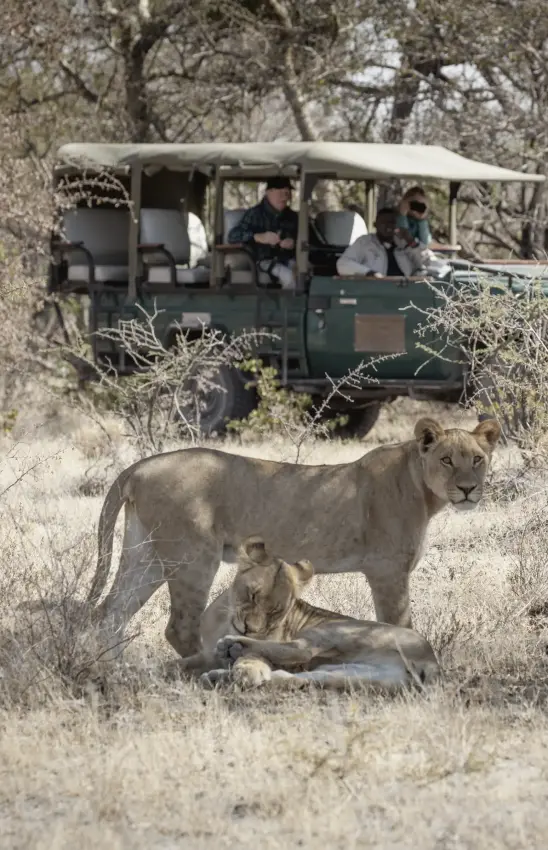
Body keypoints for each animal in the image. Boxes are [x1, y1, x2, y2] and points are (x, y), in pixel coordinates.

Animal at [88, 417, 500, 659]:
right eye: (447, 459)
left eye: (477, 459)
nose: (468, 489)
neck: (422, 488)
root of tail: (141, 466)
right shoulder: (387, 571)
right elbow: (399, 623)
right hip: (193, 557)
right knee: (179, 627)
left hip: (145, 555)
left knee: (109, 614)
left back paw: (113, 670)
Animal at [196, 535, 440, 691]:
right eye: (252, 595)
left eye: (276, 612)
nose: (249, 629)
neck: (224, 623)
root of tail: (431, 660)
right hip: (351, 674)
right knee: (296, 678)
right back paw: (218, 677)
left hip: (334, 630)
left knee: (300, 650)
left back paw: (233, 647)